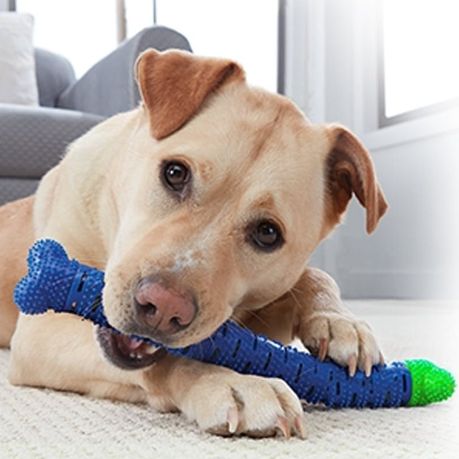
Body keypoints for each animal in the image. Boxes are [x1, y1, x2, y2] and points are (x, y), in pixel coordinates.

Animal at [0, 48, 388, 440]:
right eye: (174, 173)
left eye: (267, 233)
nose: (163, 307)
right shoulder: (38, 331)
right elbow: (176, 358)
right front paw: (233, 382)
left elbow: (317, 275)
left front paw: (339, 321)